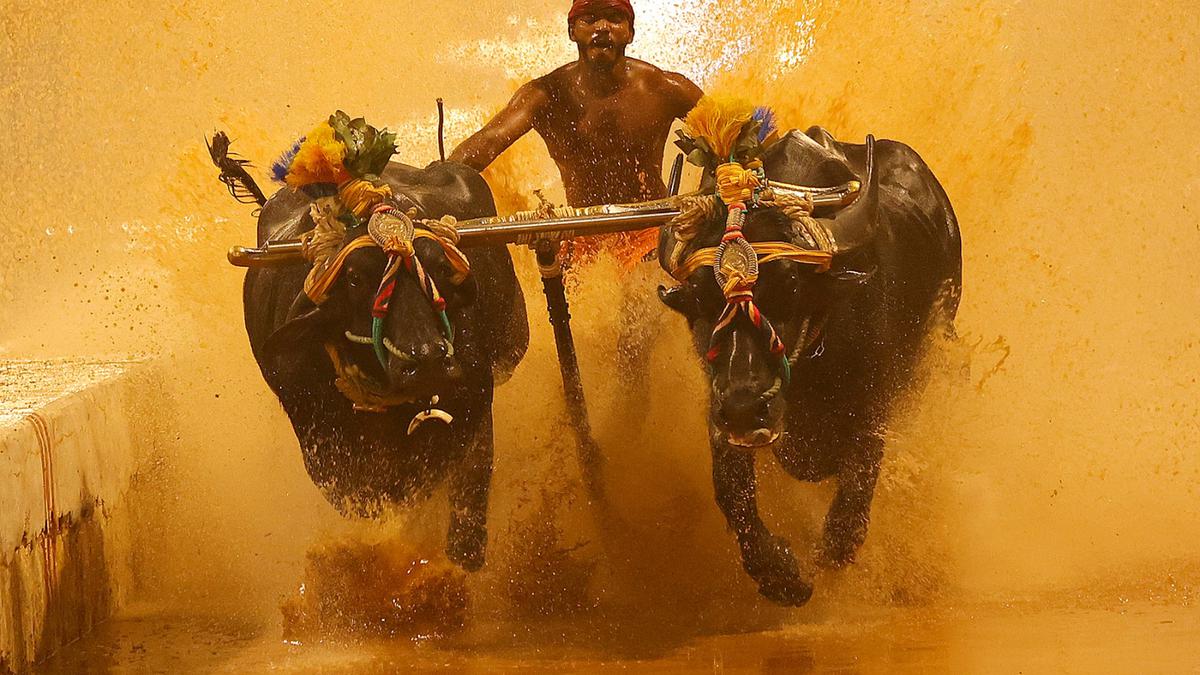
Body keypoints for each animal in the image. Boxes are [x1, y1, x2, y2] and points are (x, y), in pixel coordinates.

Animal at [662, 127, 960, 605]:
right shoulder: (719, 408)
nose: (746, 407)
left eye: (789, 286)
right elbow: (731, 492)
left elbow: (857, 482)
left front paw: (833, 553)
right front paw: (781, 575)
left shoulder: (874, 407)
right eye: (701, 298)